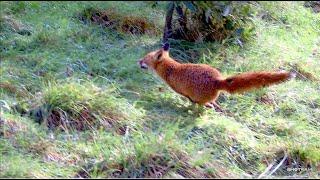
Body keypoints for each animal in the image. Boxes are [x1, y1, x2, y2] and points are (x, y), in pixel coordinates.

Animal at [138, 43, 296, 111]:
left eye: (145, 59)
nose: (138, 61)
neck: (171, 69)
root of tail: (217, 81)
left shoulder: (183, 92)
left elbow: (190, 101)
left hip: (199, 97)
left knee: (203, 104)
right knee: (213, 103)